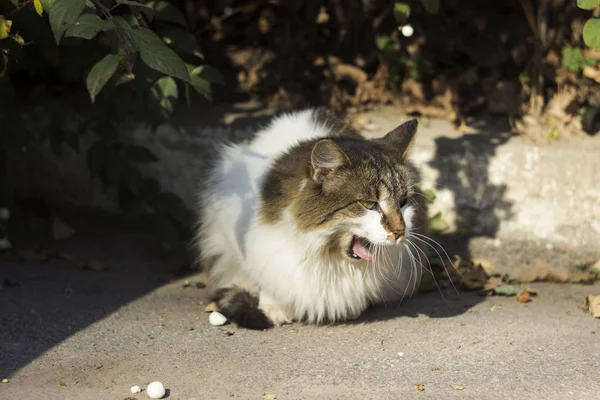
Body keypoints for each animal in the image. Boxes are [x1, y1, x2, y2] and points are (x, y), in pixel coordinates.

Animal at [196, 108, 426, 330]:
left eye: (403, 202)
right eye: (369, 204)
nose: (400, 232)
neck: (323, 253)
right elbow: (261, 274)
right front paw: (273, 306)